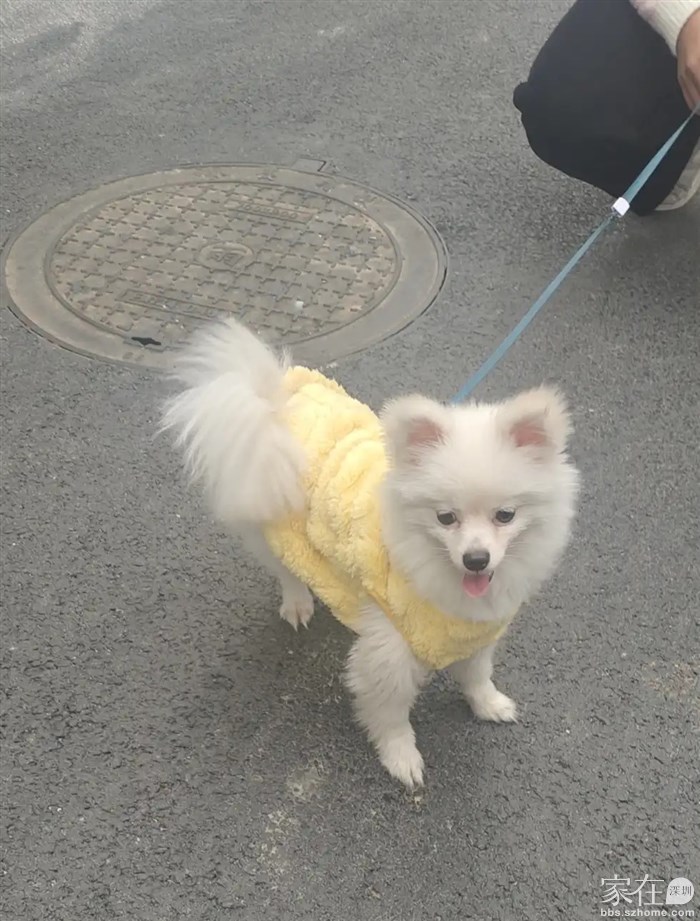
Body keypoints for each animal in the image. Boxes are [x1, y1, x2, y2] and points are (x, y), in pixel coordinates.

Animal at [162, 319, 579, 788]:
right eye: (446, 518)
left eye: (505, 515)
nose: (476, 559)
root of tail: (274, 401)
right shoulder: (388, 651)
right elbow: (390, 713)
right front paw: (401, 758)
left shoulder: (475, 633)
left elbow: (476, 675)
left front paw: (488, 705)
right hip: (270, 514)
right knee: (285, 570)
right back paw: (298, 603)